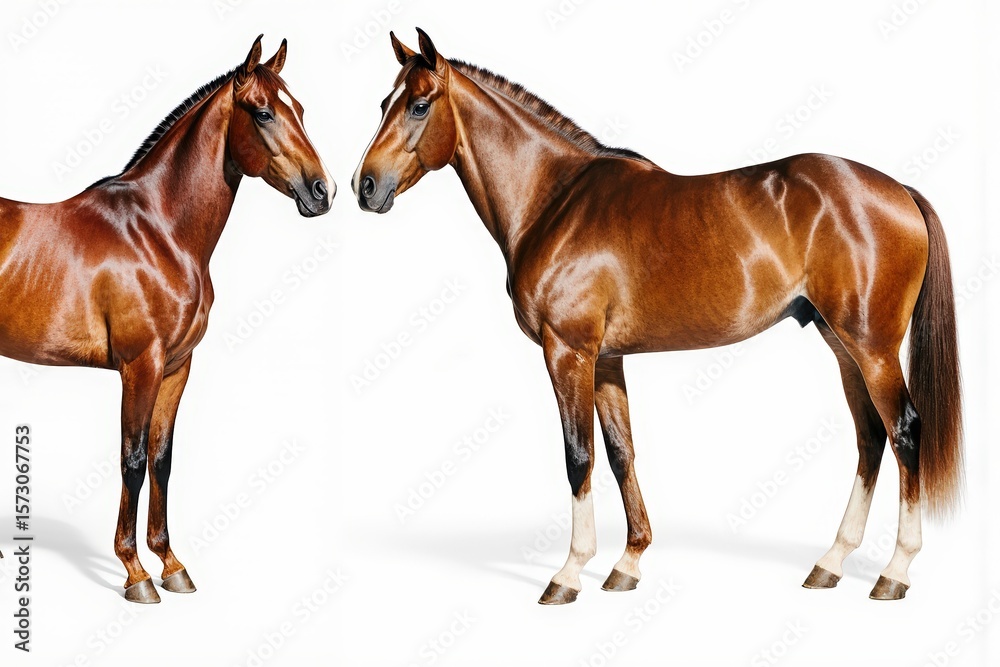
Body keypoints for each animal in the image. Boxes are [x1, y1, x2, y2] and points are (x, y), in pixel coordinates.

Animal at [0, 36, 334, 603]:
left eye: (302, 110)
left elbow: (162, 459)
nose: (322, 192)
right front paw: (135, 573)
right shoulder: (141, 365)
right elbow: (132, 461)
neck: (158, 230)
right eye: (263, 112)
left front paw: (171, 563)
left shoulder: (178, 367)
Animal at [352, 29, 963, 604]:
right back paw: (830, 563)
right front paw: (628, 563)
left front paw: (569, 573)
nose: (364, 186)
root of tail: (898, 191)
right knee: (871, 437)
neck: (555, 201)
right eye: (384, 101)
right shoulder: (605, 360)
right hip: (842, 344)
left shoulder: (567, 352)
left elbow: (578, 457)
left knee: (904, 432)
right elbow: (621, 453)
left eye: (419, 105)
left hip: (872, 347)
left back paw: (894, 572)